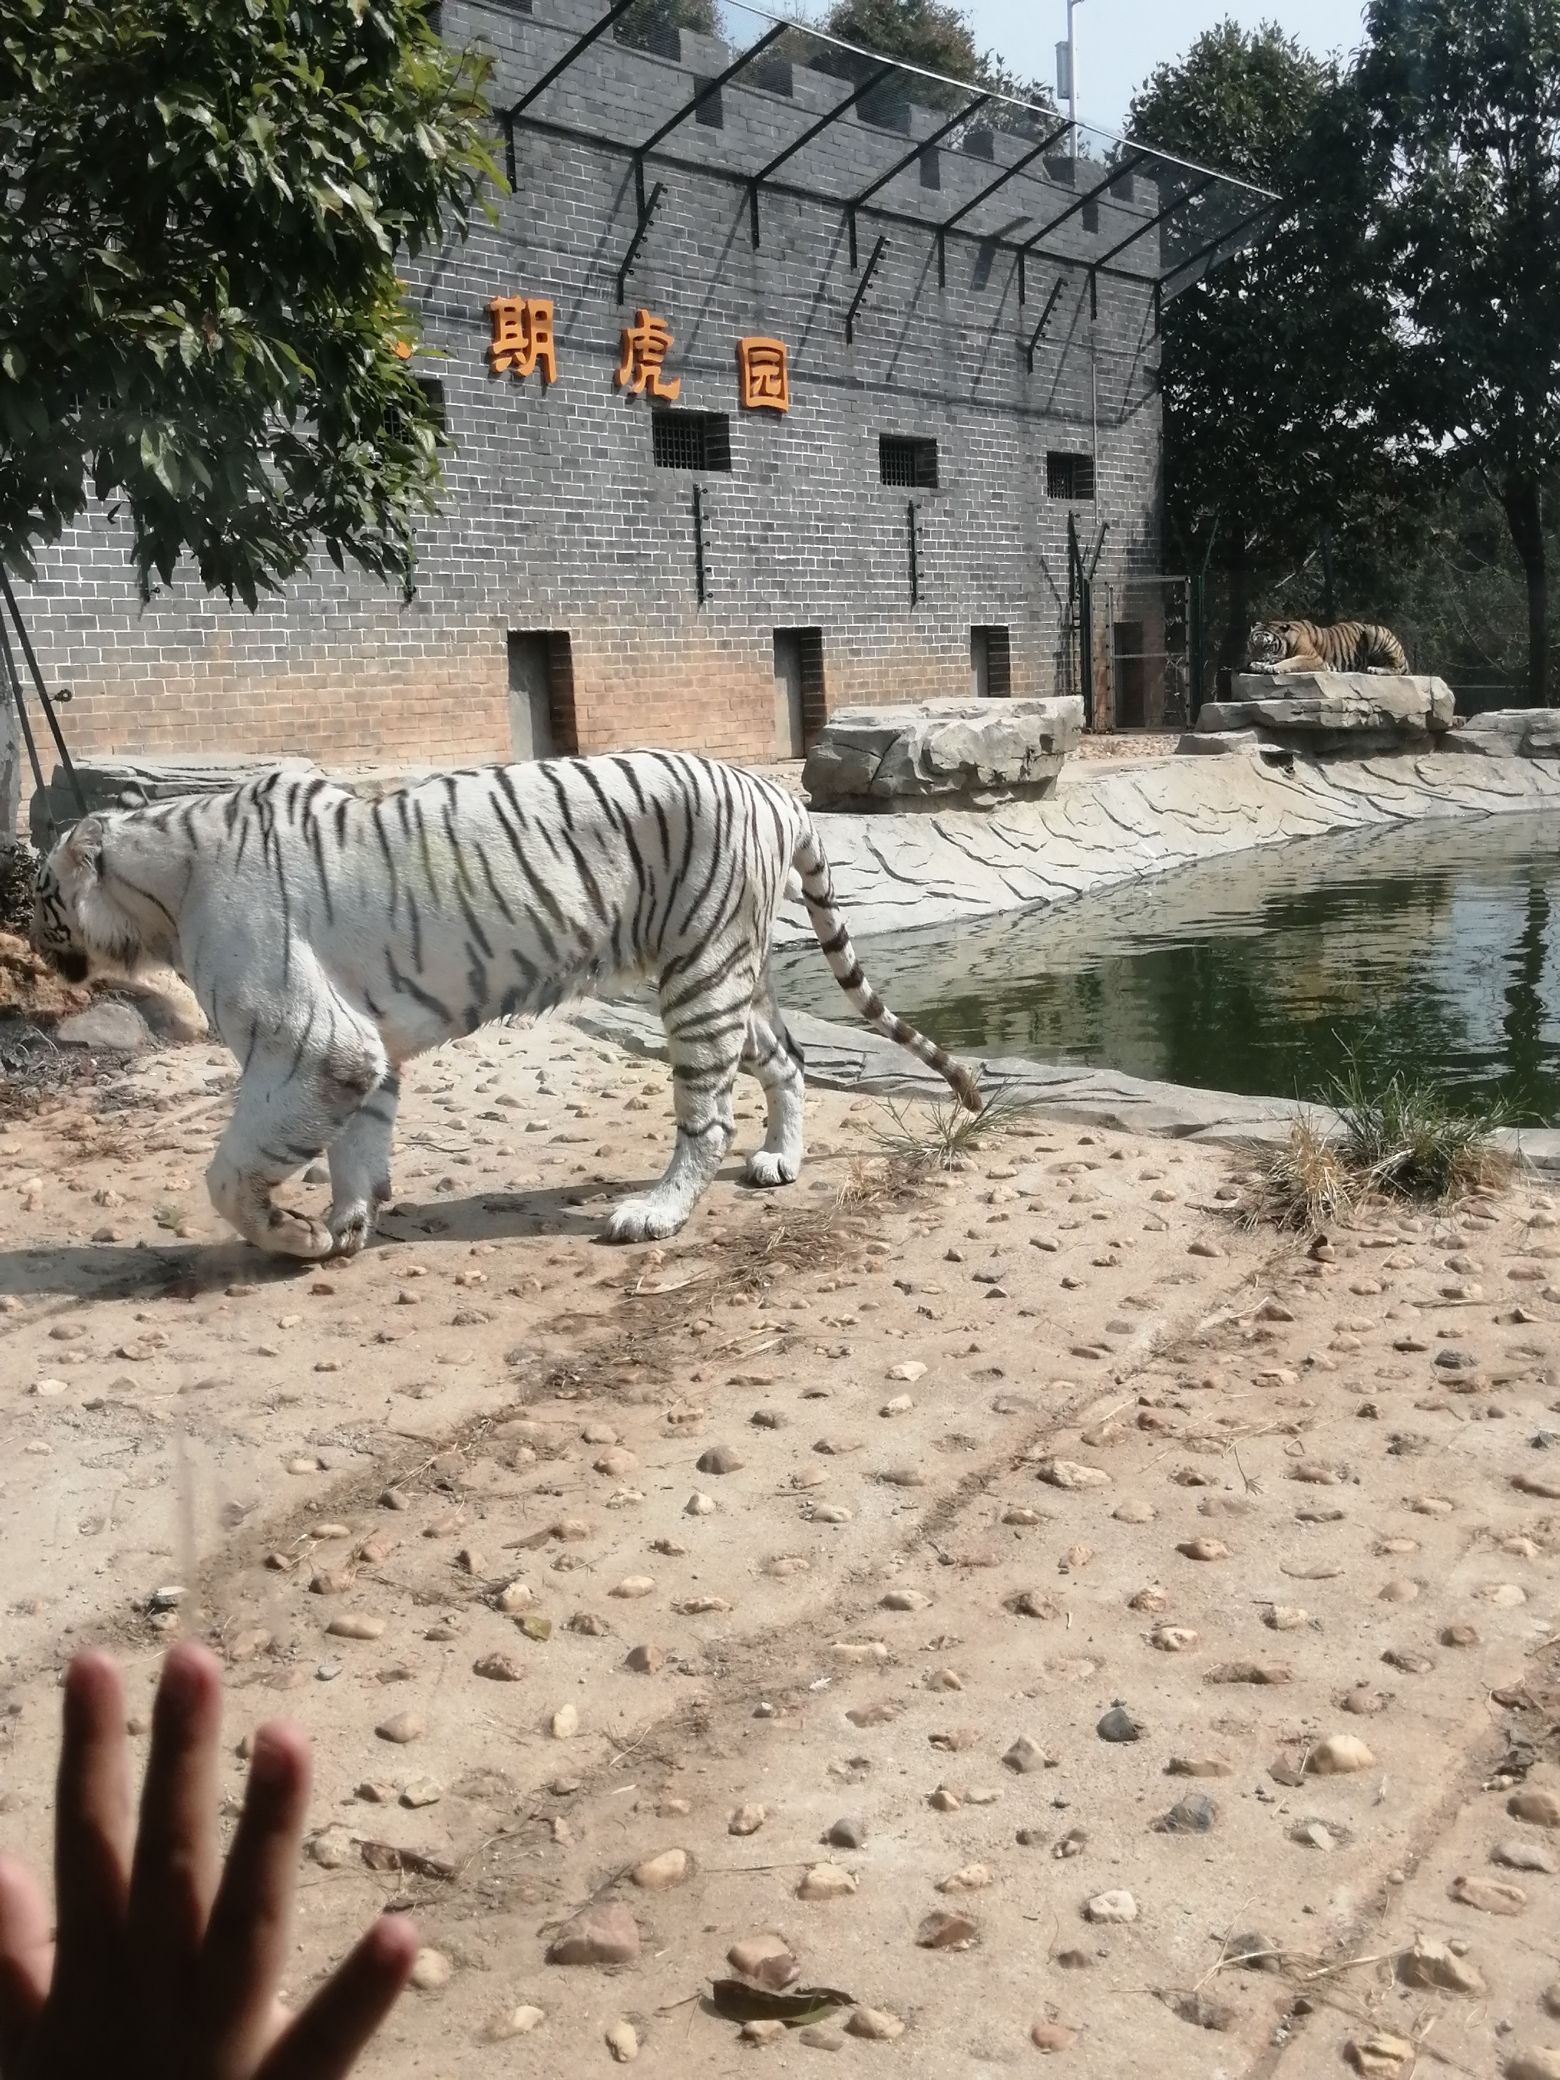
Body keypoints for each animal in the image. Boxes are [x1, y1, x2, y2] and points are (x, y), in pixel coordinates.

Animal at [31, 754, 981, 1258]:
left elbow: (232, 1172)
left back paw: (655, 1213)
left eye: (39, 894)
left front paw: (290, 1234)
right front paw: (346, 1224)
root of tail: (777, 790)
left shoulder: (309, 1045)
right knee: (786, 1057)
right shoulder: (359, 1050)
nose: (36, 948)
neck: (162, 888)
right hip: (730, 971)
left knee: (706, 1118)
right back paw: (781, 1159)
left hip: (701, 979)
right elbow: (353, 1148)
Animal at [1247, 619, 1410, 676]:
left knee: (1397, 669)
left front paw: (1271, 667)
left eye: (1267, 646)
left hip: (1372, 631)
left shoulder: (1313, 658)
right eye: (1253, 644)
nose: (1255, 657)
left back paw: (1375, 669)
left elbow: (1291, 661)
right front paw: (1256, 665)